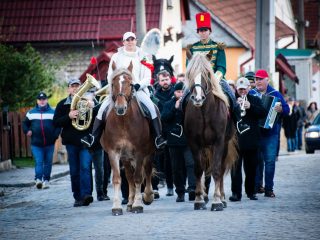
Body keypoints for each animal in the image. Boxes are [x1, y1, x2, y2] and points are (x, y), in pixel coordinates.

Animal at [100, 62, 155, 216]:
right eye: (113, 84)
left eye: (130, 84)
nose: (120, 108)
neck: (124, 122)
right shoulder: (114, 152)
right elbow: (118, 178)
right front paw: (117, 207)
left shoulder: (140, 152)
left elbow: (138, 177)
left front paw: (138, 204)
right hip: (126, 157)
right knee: (129, 177)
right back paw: (129, 202)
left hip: (148, 153)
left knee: (147, 171)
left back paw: (147, 196)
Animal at [182, 53, 238, 211]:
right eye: (189, 73)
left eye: (207, 74)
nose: (198, 98)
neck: (205, 112)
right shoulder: (194, 143)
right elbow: (198, 169)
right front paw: (199, 199)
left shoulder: (219, 141)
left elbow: (217, 169)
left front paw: (217, 201)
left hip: (223, 144)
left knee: (221, 167)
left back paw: (222, 198)